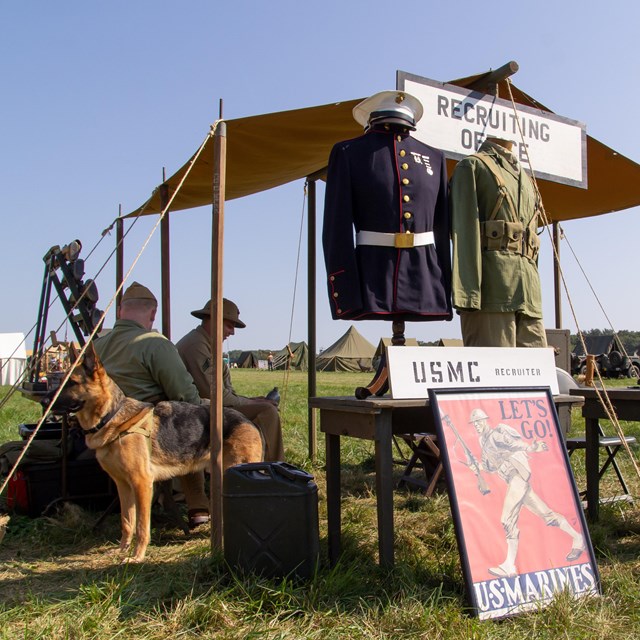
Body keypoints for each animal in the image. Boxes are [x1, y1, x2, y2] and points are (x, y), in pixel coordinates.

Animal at [44, 344, 262, 560]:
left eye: (72, 383)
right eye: (61, 381)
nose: (45, 400)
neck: (112, 417)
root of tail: (248, 421)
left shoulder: (142, 484)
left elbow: (141, 526)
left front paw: (137, 557)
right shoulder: (123, 487)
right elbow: (127, 522)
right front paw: (122, 550)